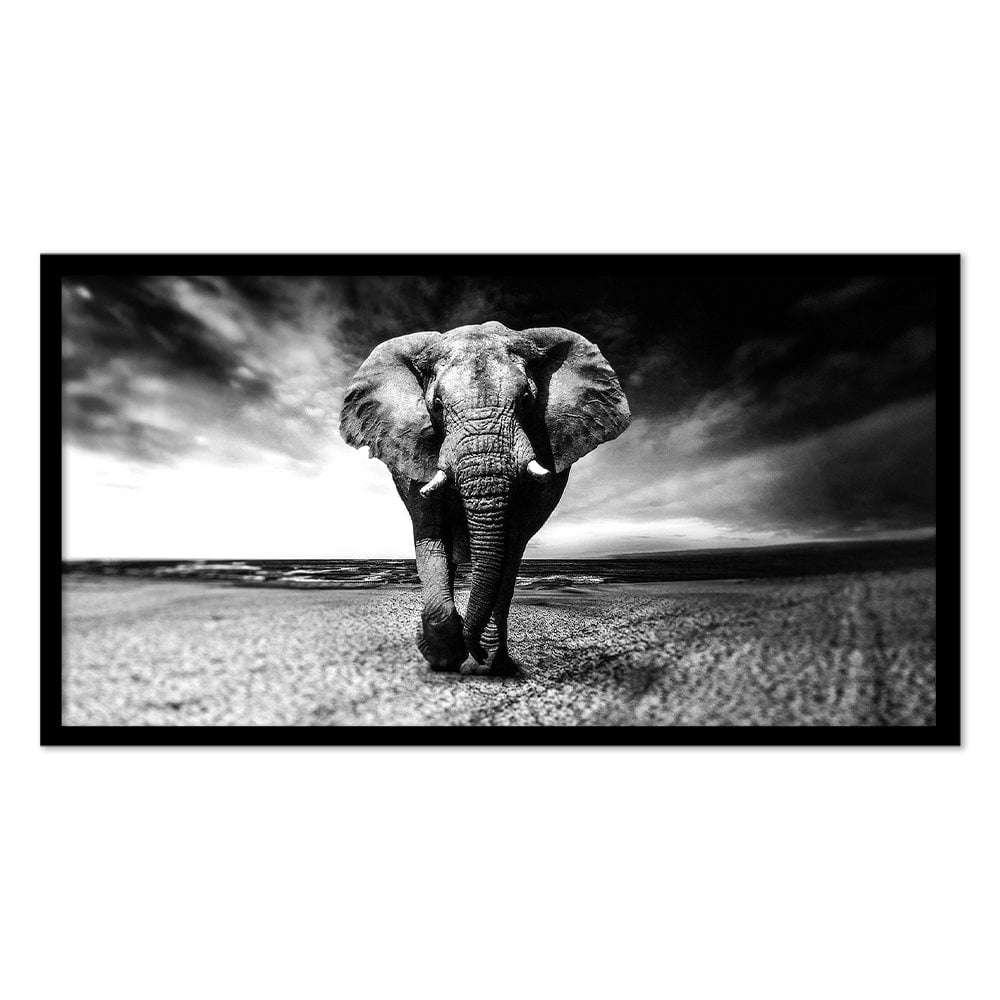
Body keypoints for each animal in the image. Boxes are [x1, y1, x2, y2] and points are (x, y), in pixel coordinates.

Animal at [339, 320, 630, 675]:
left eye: (527, 400)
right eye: (437, 406)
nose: (473, 649)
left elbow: (511, 543)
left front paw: (484, 662)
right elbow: (430, 533)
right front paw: (443, 657)